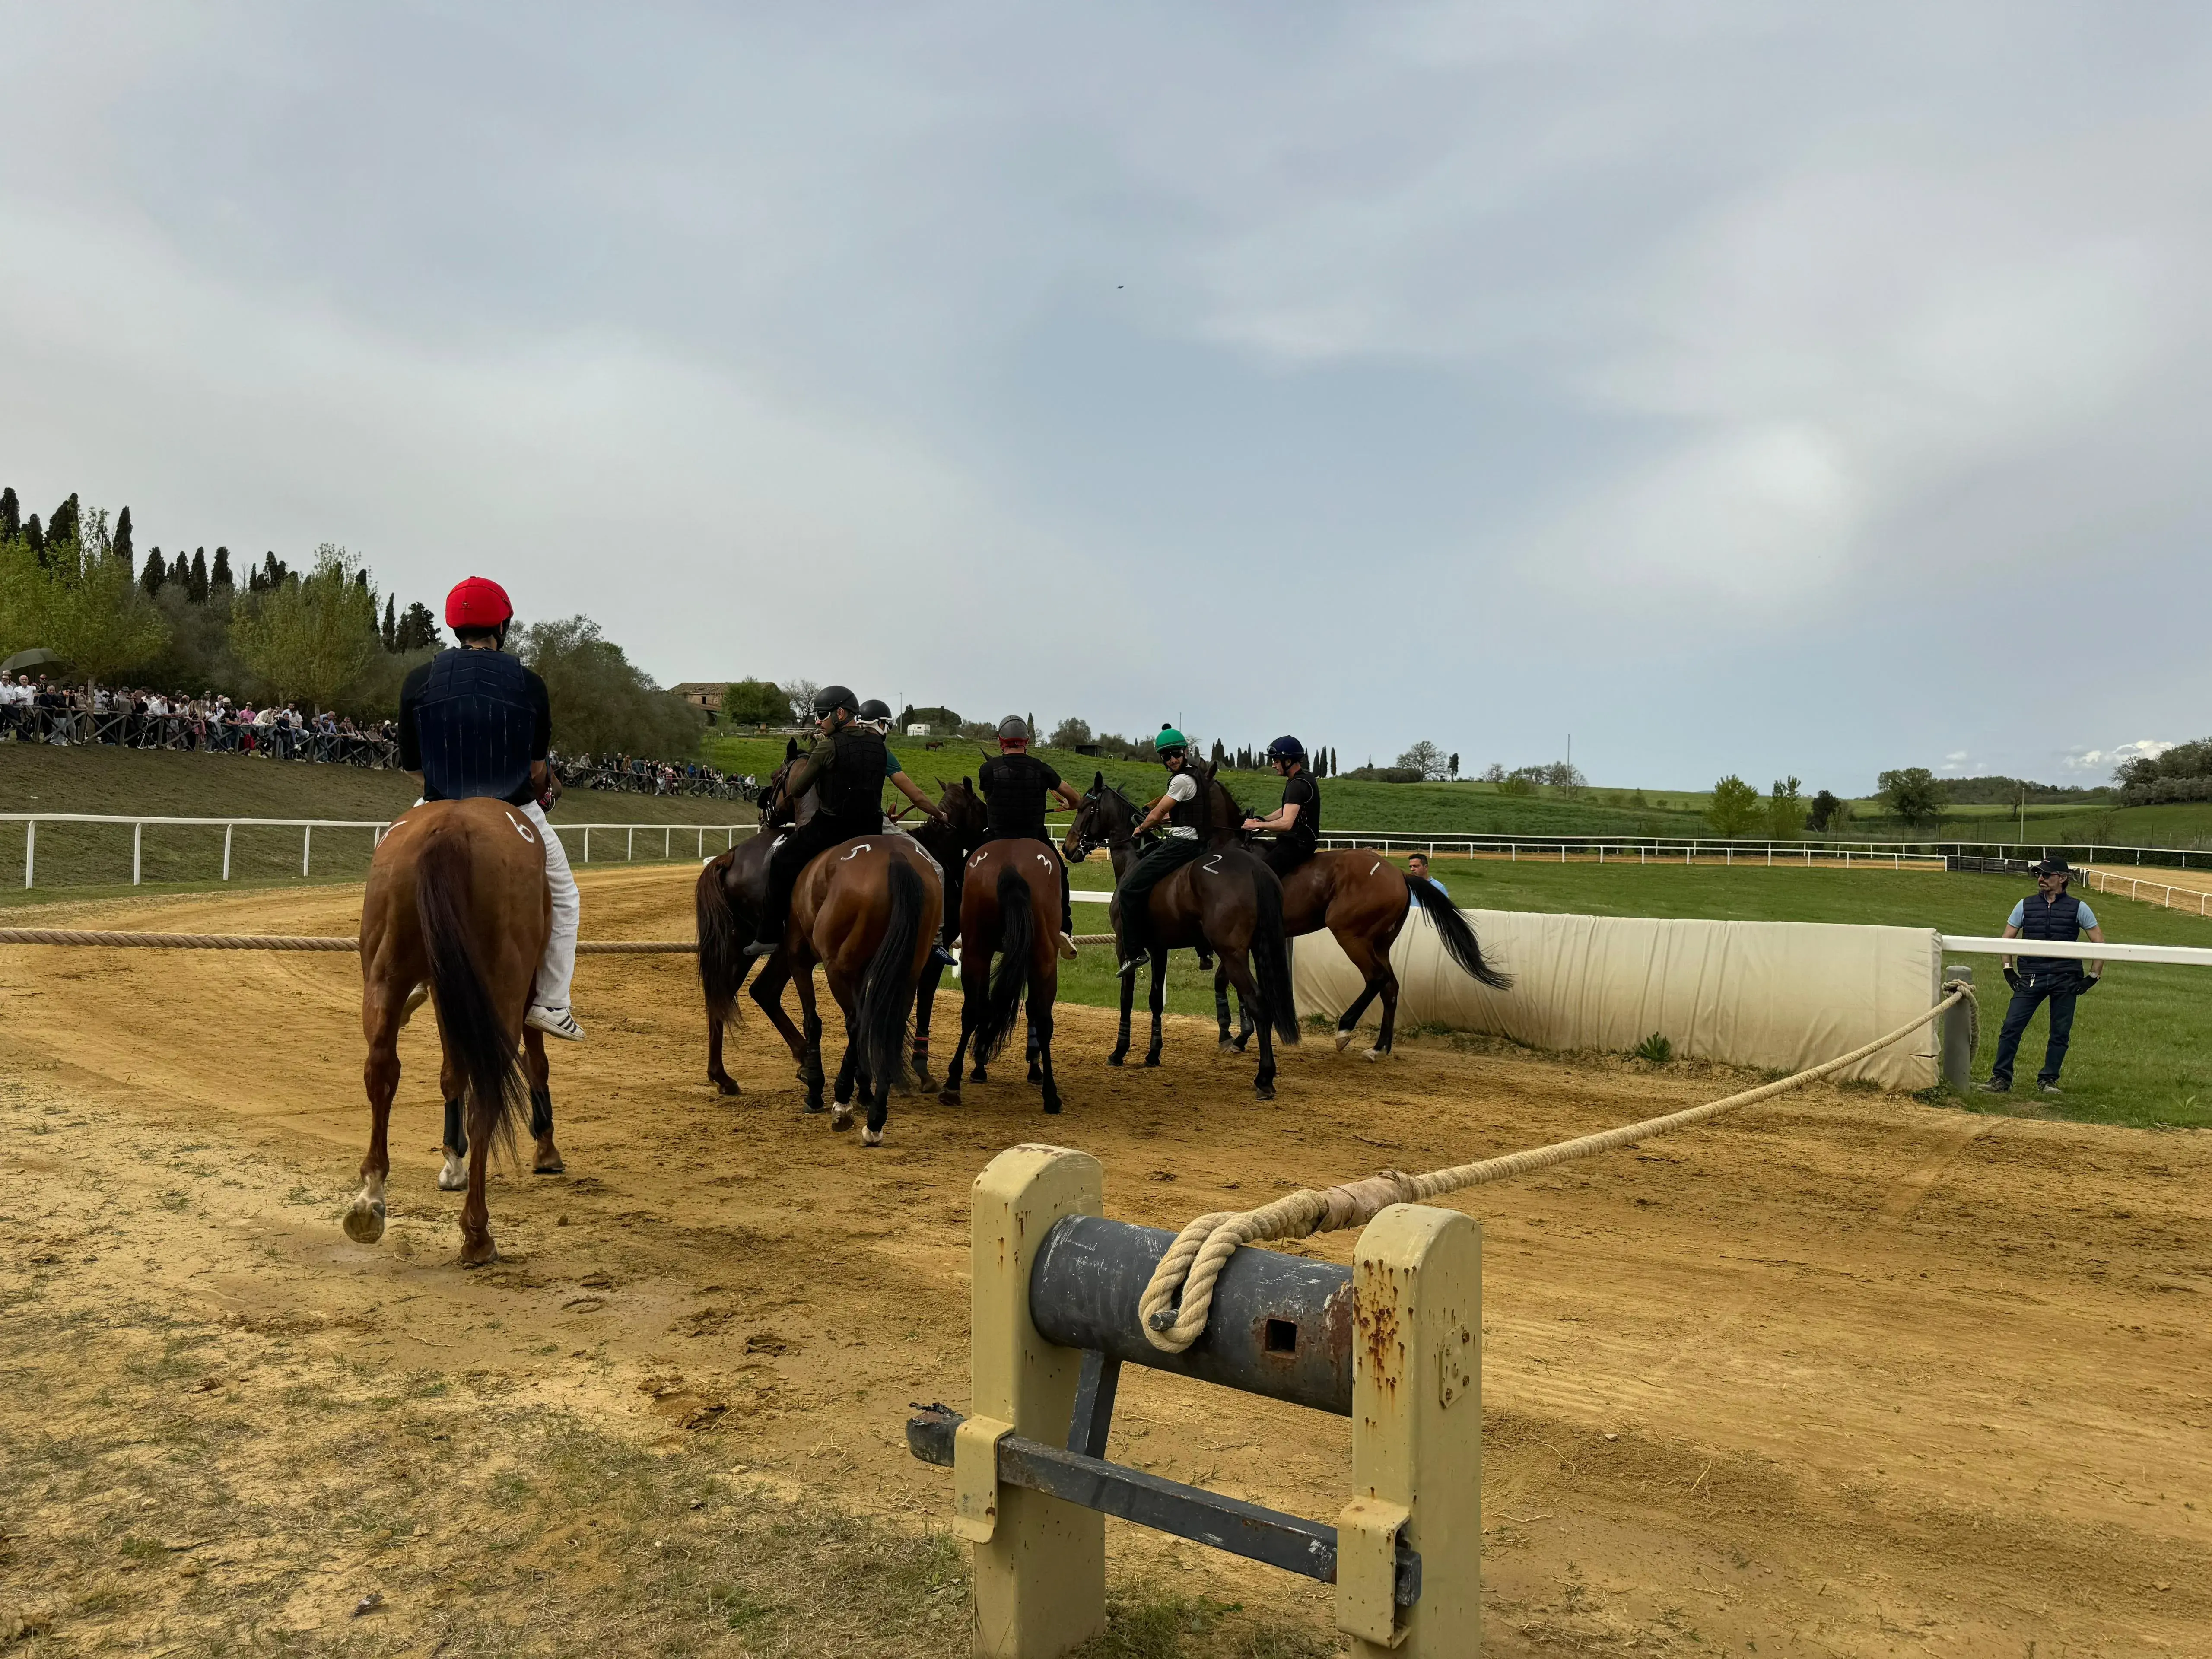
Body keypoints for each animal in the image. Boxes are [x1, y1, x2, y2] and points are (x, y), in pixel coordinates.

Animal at [347, 801, 566, 1265]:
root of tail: (447, 829)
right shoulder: (521, 991)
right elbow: (537, 1061)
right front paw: (546, 1147)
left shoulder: (445, 986)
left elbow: (451, 1072)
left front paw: (452, 1160)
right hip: (504, 983)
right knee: (487, 1094)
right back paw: (478, 1234)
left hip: (386, 974)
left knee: (382, 1069)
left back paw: (371, 1197)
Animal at [938, 832, 1066, 1119]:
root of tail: (1010, 866)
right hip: (1039, 957)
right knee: (1040, 1018)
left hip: (979, 952)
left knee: (974, 1011)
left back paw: (954, 1084)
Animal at [1057, 769, 1292, 1106]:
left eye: (1086, 809)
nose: (1068, 847)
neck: (1134, 859)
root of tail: (1254, 867)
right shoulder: (1160, 949)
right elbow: (1156, 1000)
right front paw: (1153, 1054)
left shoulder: (1125, 947)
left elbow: (1127, 998)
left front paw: (1119, 1051)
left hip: (1233, 955)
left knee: (1259, 1003)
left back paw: (1264, 1077)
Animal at [1203, 774, 1513, 1057]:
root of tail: (1399, 874)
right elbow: (1227, 981)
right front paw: (1236, 1038)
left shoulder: (1239, 942)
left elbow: (1233, 984)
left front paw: (1234, 1036)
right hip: (1379, 943)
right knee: (1391, 986)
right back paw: (1380, 1048)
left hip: (1349, 934)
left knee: (1377, 978)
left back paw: (1345, 1029)